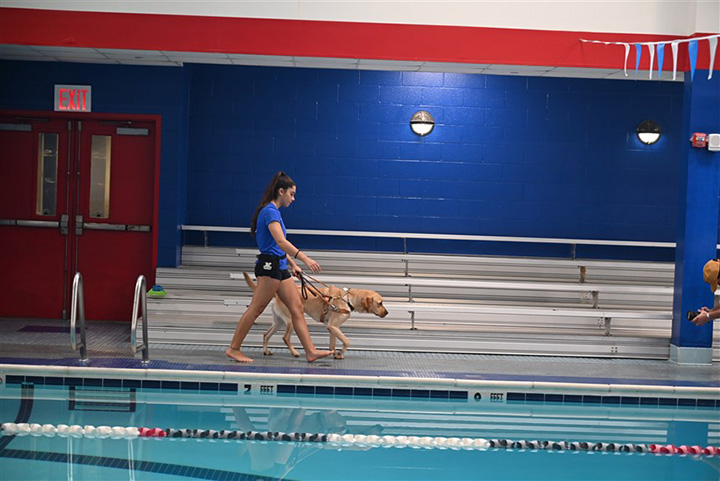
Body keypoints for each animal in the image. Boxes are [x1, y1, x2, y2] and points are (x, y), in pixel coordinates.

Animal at [242, 272, 388, 358]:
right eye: (380, 303)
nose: (387, 313)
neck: (348, 299)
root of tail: (277, 295)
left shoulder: (332, 328)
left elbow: (333, 344)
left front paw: (335, 354)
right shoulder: (334, 327)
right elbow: (346, 341)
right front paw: (341, 352)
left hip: (279, 322)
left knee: (266, 334)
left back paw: (266, 351)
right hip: (291, 320)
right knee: (285, 338)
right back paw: (294, 352)